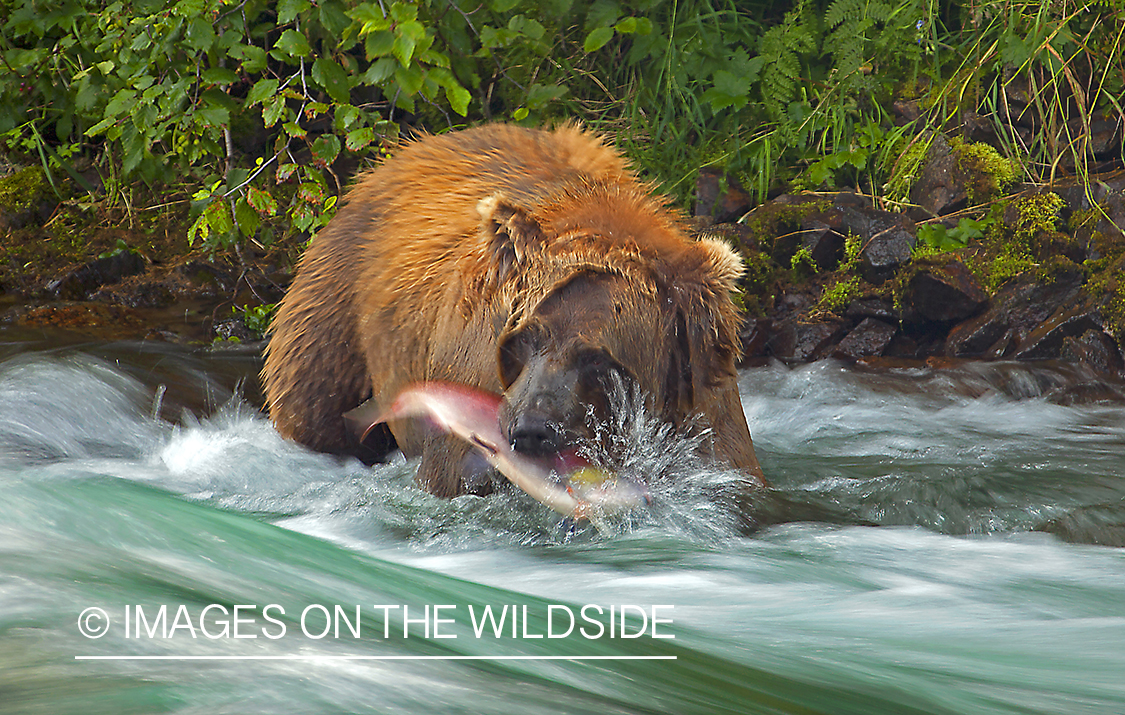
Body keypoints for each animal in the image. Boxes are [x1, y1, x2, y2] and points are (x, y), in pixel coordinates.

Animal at [261, 124, 765, 496]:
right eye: (525, 337)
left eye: (596, 357)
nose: (530, 430)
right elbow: (449, 472)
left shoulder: (701, 408)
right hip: (339, 297)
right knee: (313, 394)